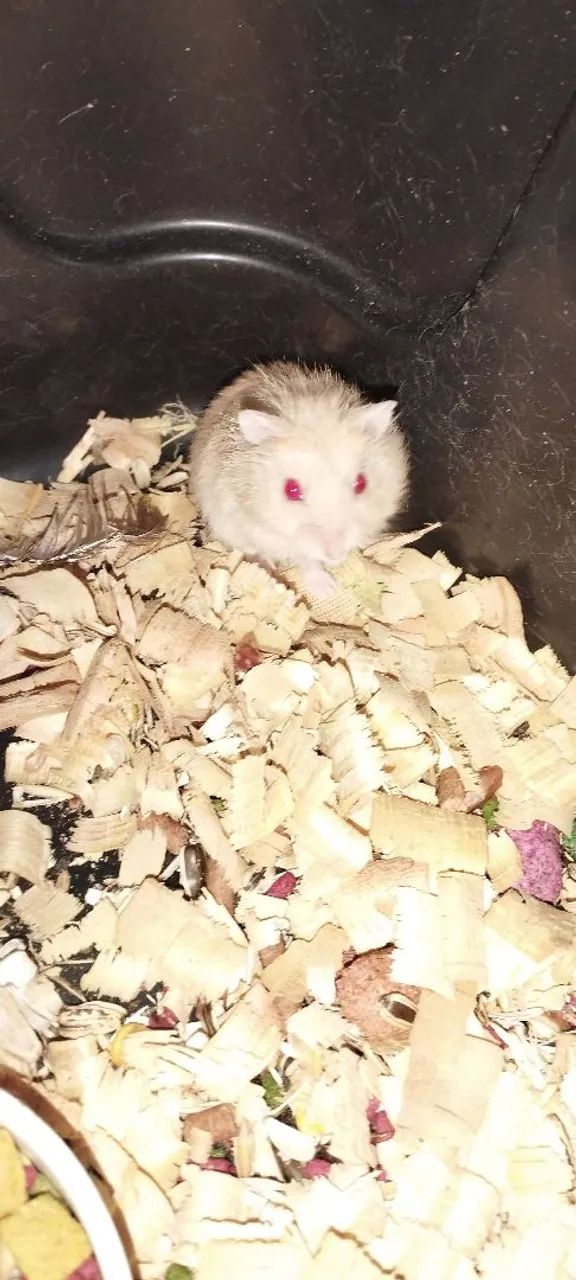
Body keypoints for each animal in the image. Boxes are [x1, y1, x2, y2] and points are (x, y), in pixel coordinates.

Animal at [189, 360, 409, 597]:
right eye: (291, 490)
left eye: (361, 483)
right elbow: (307, 560)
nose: (335, 554)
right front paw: (327, 589)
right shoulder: (267, 533)